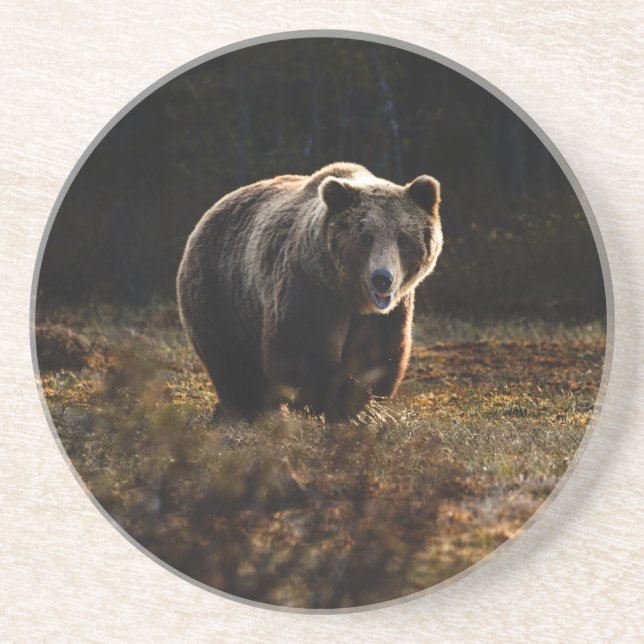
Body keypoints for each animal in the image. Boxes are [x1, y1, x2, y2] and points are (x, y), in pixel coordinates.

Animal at [176, 162, 442, 421]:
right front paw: (354, 407)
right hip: (221, 295)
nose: (382, 279)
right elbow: (301, 350)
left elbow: (378, 353)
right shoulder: (308, 286)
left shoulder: (387, 313)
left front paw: (368, 403)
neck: (351, 295)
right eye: (366, 237)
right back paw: (249, 411)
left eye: (402, 239)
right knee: (233, 364)